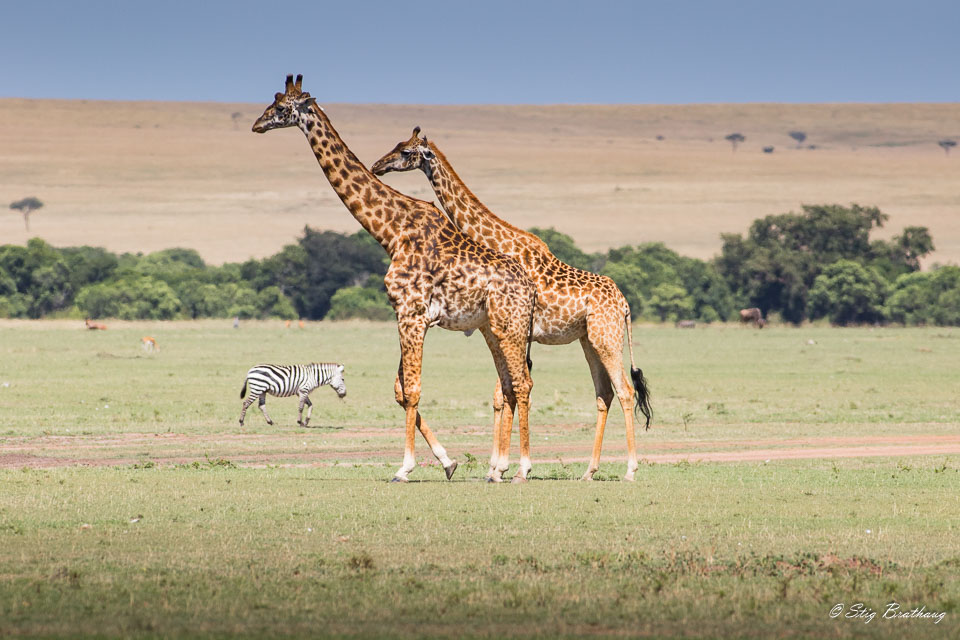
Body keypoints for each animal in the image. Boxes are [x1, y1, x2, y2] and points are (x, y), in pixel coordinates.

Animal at [251, 76, 536, 480]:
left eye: (280, 108)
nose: (256, 124)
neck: (390, 231)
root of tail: (530, 289)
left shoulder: (412, 314)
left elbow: (412, 390)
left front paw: (405, 467)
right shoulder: (402, 315)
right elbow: (401, 392)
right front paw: (447, 461)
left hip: (511, 326)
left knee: (522, 383)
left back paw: (523, 468)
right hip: (492, 328)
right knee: (511, 384)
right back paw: (499, 469)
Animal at [370, 129, 652, 480]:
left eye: (406, 151)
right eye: (396, 145)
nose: (377, 166)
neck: (497, 242)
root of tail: (625, 304)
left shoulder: (514, 332)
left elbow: (509, 392)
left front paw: (504, 467)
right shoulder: (509, 333)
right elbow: (502, 395)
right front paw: (496, 466)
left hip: (607, 338)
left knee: (625, 390)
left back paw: (629, 470)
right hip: (589, 340)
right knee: (605, 393)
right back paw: (589, 470)